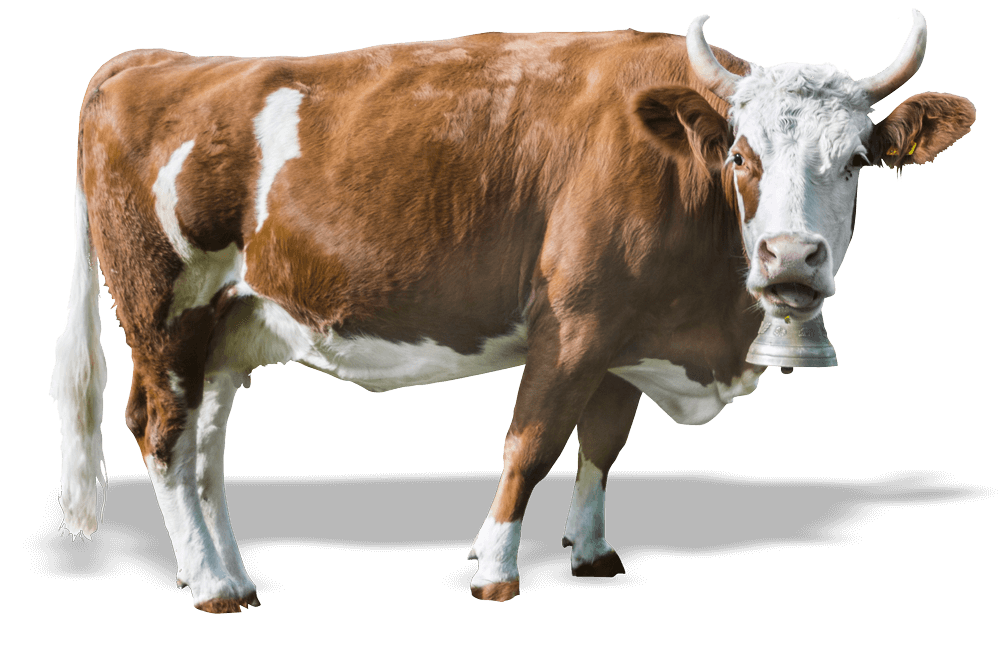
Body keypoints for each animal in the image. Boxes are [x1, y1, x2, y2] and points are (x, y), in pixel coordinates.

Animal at [53, 10, 974, 611]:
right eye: (741, 156)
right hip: (164, 309)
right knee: (159, 429)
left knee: (205, 446)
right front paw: (495, 567)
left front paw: (593, 550)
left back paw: (226, 571)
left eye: (854, 162)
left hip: (227, 326)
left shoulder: (627, 338)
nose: (790, 258)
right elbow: (530, 442)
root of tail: (156, 60)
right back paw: (212, 583)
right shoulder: (573, 319)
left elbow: (602, 443)